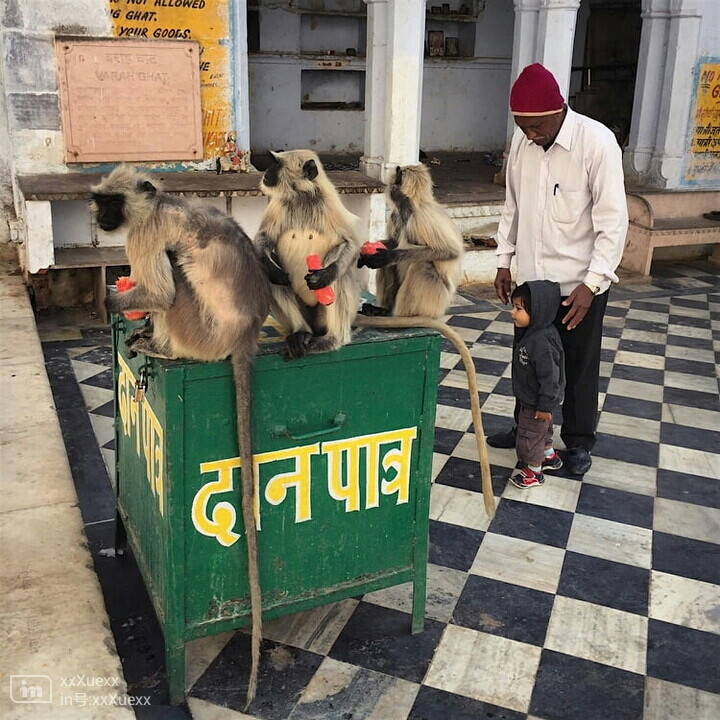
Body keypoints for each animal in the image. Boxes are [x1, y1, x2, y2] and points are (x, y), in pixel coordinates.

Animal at [90, 165, 270, 708]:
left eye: (112, 203)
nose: (100, 217)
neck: (158, 206)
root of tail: (245, 334)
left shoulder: (146, 235)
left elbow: (160, 291)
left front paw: (113, 300)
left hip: (200, 329)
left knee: (174, 280)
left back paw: (161, 345)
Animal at [256, 149, 362, 360]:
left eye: (276, 165)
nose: (266, 171)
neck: (301, 195)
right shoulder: (278, 204)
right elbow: (262, 239)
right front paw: (273, 270)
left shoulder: (330, 203)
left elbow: (352, 244)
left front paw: (326, 275)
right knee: (270, 276)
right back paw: (301, 332)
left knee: (338, 272)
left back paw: (332, 339)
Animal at [354, 163, 496, 516]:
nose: (390, 175)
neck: (409, 208)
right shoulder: (398, 216)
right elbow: (390, 241)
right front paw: (370, 250)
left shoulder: (419, 217)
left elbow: (446, 251)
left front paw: (380, 255)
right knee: (396, 260)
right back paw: (382, 308)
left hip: (433, 298)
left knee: (419, 264)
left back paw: (398, 316)